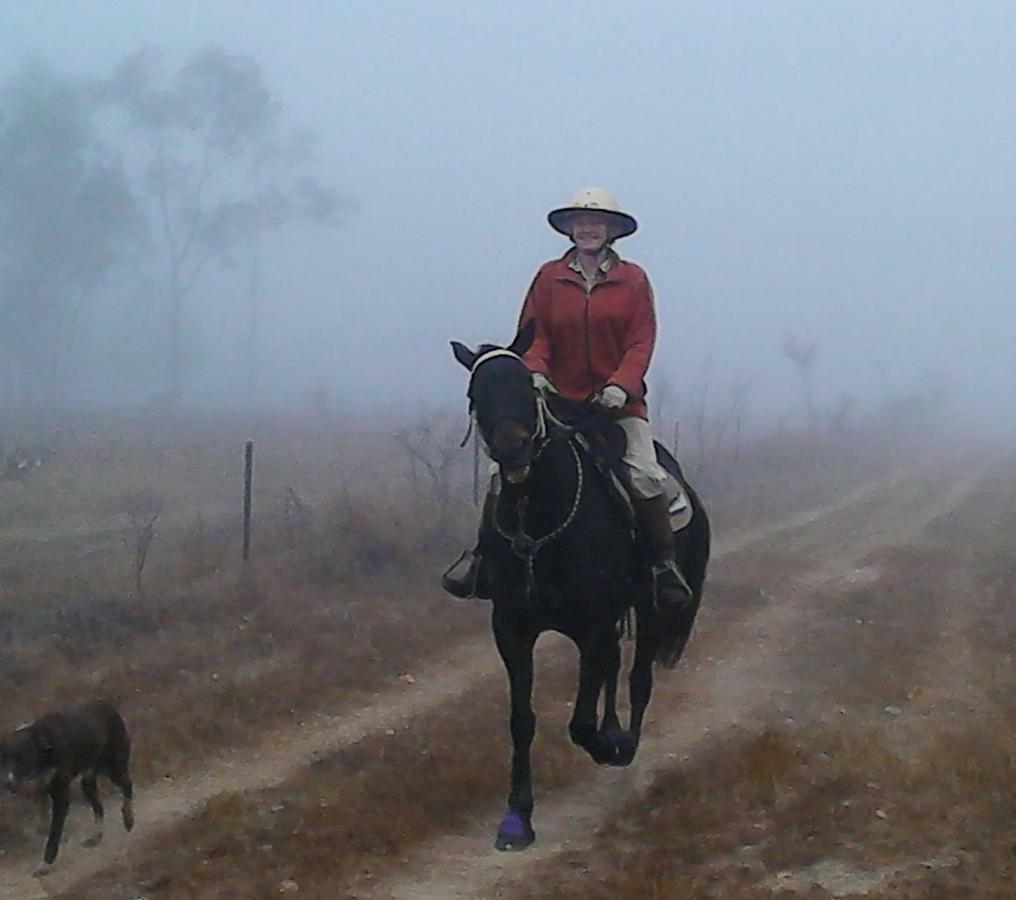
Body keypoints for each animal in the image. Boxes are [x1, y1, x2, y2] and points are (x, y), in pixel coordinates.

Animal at [0, 702, 134, 877]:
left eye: (22, 758)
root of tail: (109, 707)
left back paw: (128, 818)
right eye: (4, 759)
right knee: (99, 808)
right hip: (87, 782)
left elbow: (54, 834)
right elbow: (43, 816)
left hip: (114, 768)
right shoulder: (40, 789)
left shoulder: (60, 794)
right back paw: (96, 835)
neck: (44, 745)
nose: (8, 784)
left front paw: (45, 864)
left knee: (127, 786)